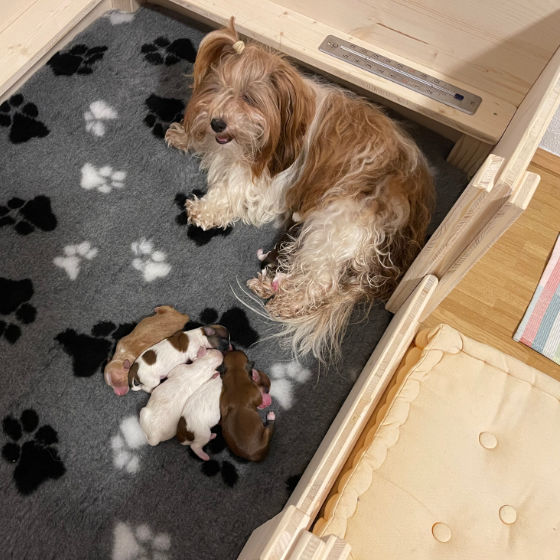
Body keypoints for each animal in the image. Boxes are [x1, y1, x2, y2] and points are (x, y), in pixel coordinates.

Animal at [166, 17, 438, 360]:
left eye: (248, 98)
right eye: (216, 88)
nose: (217, 123)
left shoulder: (269, 180)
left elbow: (235, 186)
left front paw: (204, 209)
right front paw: (186, 135)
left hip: (336, 222)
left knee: (320, 281)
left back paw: (285, 300)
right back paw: (269, 285)